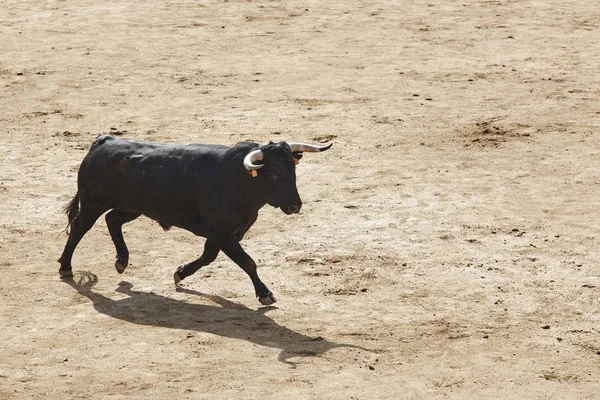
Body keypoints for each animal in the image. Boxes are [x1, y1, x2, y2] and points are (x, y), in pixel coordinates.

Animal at [57, 136, 332, 304]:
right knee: (80, 227)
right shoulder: (222, 232)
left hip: (133, 207)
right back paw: (65, 266)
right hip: (93, 203)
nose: (295, 206)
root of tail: (104, 141)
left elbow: (209, 256)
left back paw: (122, 261)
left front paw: (180, 273)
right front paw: (264, 293)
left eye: (293, 171)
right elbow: (247, 261)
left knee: (113, 220)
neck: (237, 180)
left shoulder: (228, 232)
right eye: (273, 174)